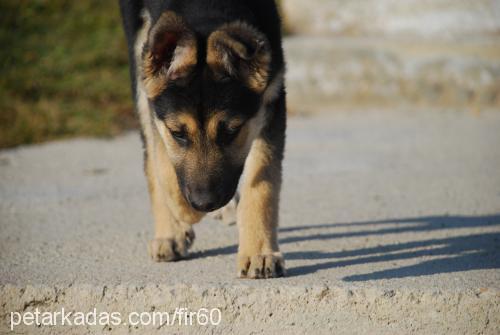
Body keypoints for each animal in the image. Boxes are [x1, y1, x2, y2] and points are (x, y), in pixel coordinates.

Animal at [118, 0, 288, 278]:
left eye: (231, 131)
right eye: (178, 133)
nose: (204, 203)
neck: (205, 10)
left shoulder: (271, 94)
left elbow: (262, 181)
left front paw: (259, 253)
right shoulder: (156, 105)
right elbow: (162, 166)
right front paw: (184, 214)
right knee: (150, 157)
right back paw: (170, 234)